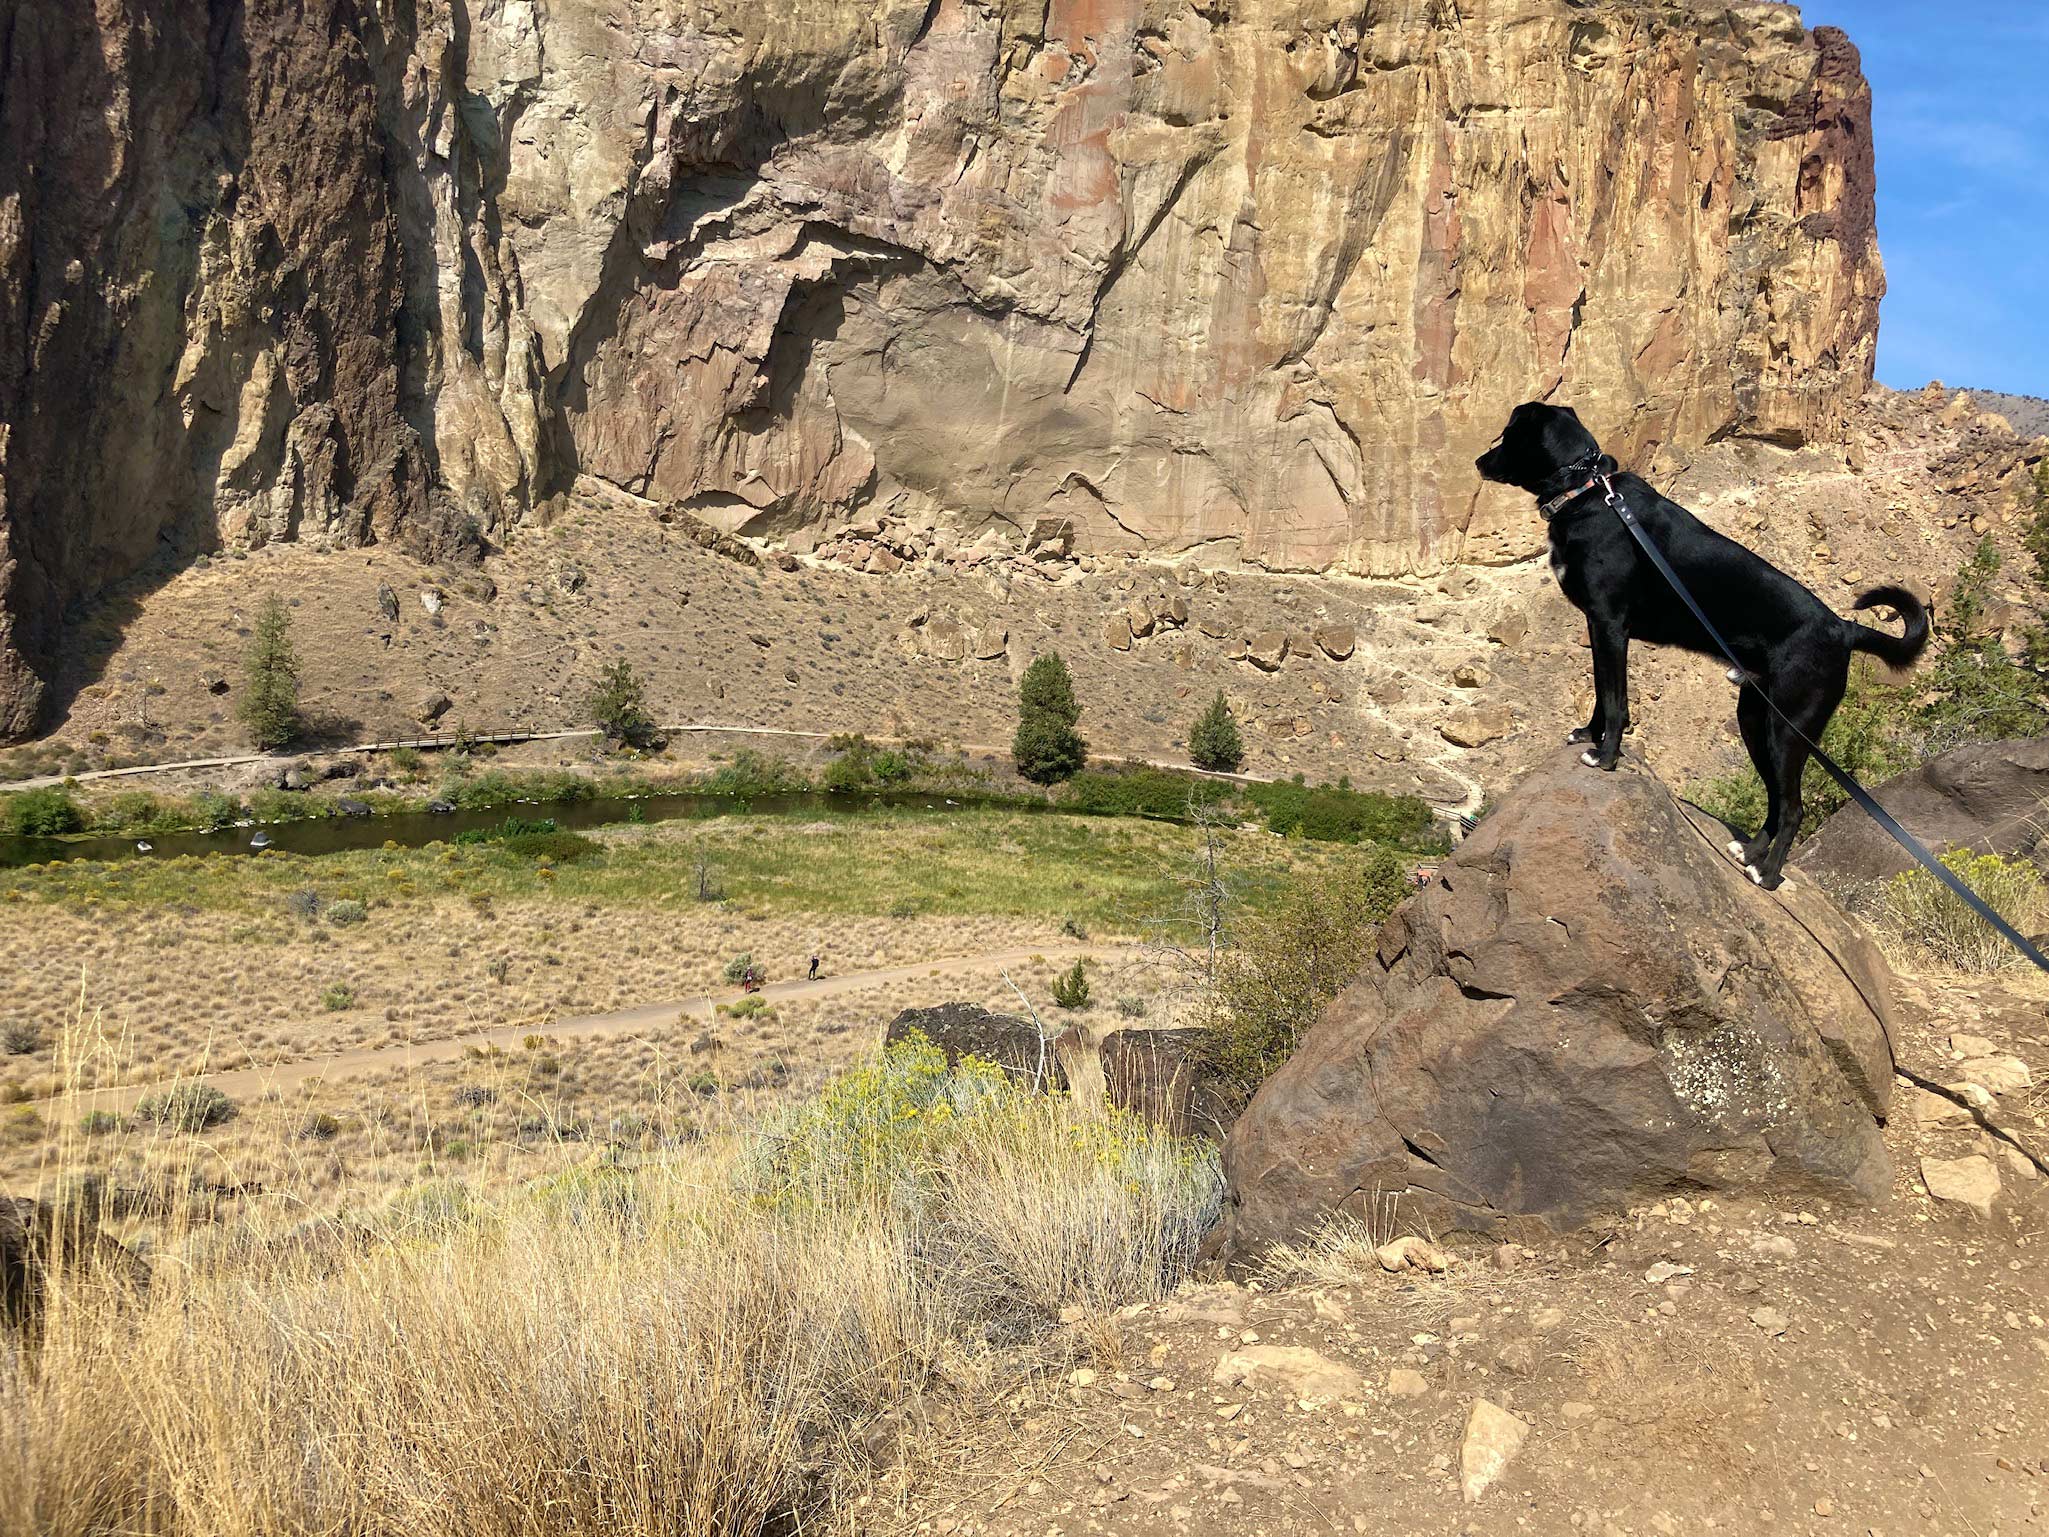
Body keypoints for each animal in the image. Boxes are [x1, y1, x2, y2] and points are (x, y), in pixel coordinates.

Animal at [1483, 403, 1926, 889]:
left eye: (1508, 434)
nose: (1479, 462)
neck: (1586, 491)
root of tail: (1843, 628)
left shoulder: (1609, 624)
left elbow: (1615, 700)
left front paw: (1606, 756)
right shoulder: (1599, 628)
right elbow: (1602, 692)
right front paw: (1588, 734)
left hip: (1788, 727)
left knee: (1793, 808)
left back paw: (1767, 874)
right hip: (1754, 718)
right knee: (1775, 799)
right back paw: (1748, 852)